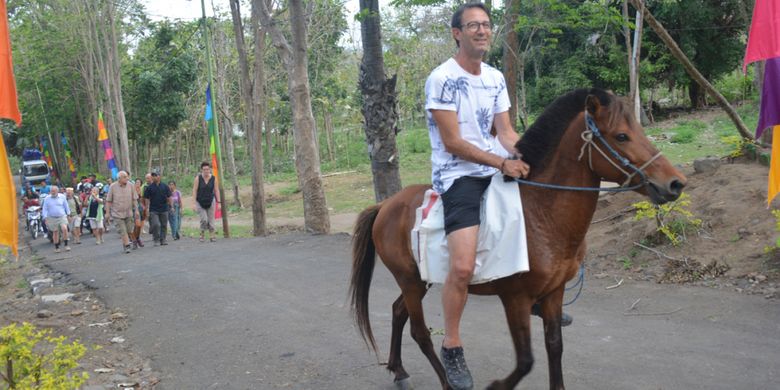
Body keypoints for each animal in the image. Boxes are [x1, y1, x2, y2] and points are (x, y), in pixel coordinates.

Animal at [350, 89, 684, 390]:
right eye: (622, 136)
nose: (675, 183)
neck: (540, 213)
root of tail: (386, 205)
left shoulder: (553, 293)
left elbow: (554, 346)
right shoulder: (515, 298)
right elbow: (525, 361)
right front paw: (497, 385)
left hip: (420, 282)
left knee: (398, 312)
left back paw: (399, 371)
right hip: (410, 280)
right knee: (420, 333)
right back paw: (447, 380)